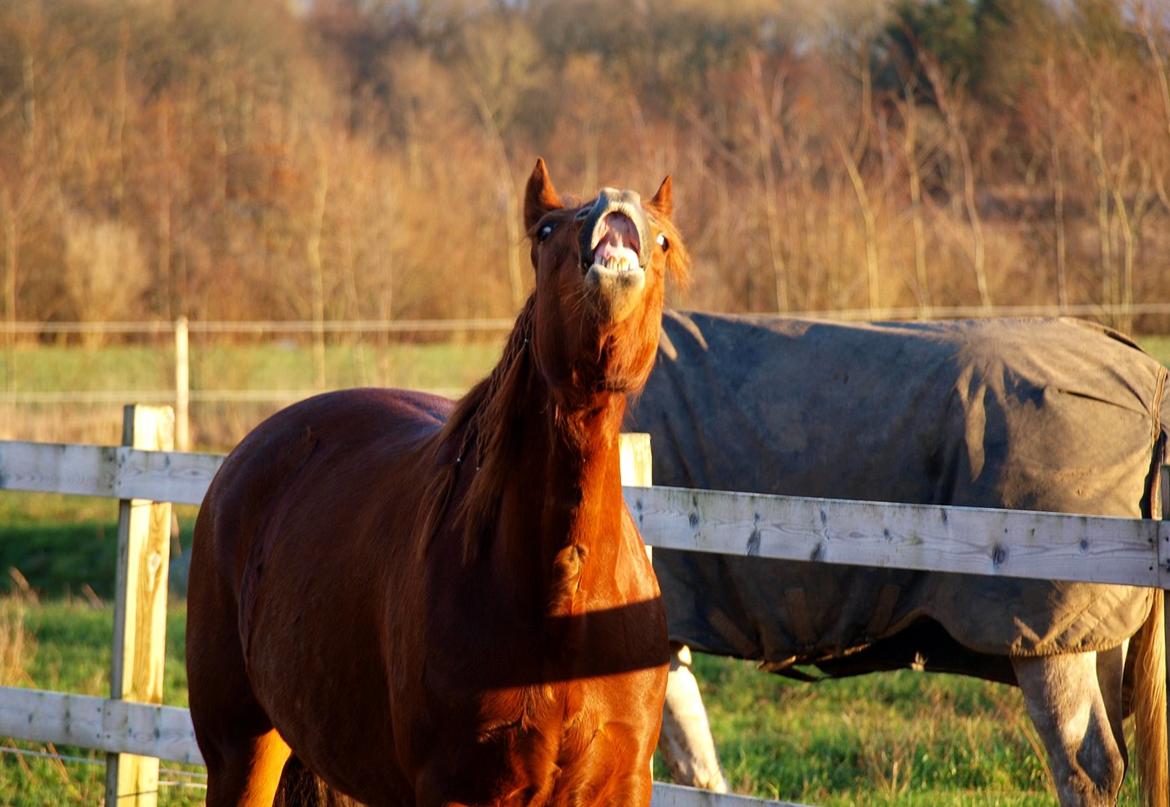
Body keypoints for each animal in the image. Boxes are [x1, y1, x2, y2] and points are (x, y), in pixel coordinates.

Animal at [187, 160, 687, 799]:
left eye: (664, 239)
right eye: (546, 231)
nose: (614, 203)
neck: (563, 609)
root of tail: (246, 455)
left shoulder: (622, 784)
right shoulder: (457, 788)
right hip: (239, 750)